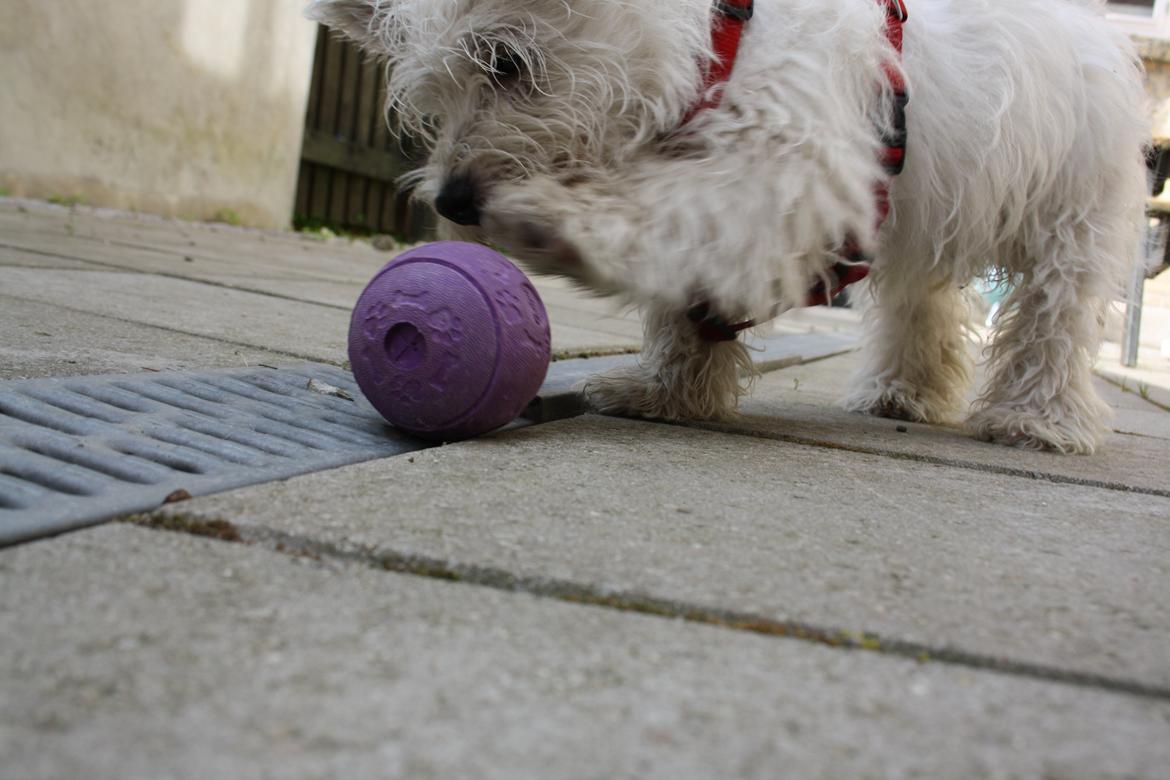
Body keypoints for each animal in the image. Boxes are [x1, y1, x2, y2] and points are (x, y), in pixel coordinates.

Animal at [306, 0, 1146, 453]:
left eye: (506, 62)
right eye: (432, 96)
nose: (453, 200)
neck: (722, 38)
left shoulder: (781, 174)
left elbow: (667, 221)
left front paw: (558, 222)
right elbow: (688, 304)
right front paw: (667, 390)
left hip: (1071, 214)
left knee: (1053, 317)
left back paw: (1039, 419)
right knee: (922, 305)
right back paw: (902, 394)